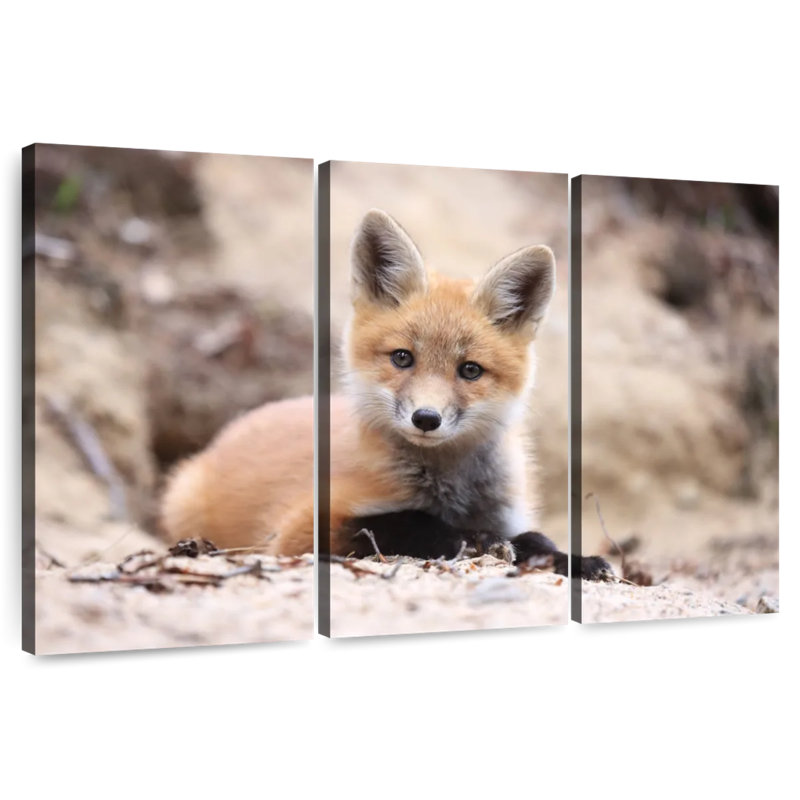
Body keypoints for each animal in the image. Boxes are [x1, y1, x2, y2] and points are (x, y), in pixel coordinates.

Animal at [161, 209, 610, 576]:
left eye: (470, 370)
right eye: (402, 358)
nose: (426, 418)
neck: (451, 494)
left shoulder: (509, 515)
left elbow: (538, 539)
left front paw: (579, 561)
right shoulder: (298, 531)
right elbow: (403, 521)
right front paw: (474, 540)